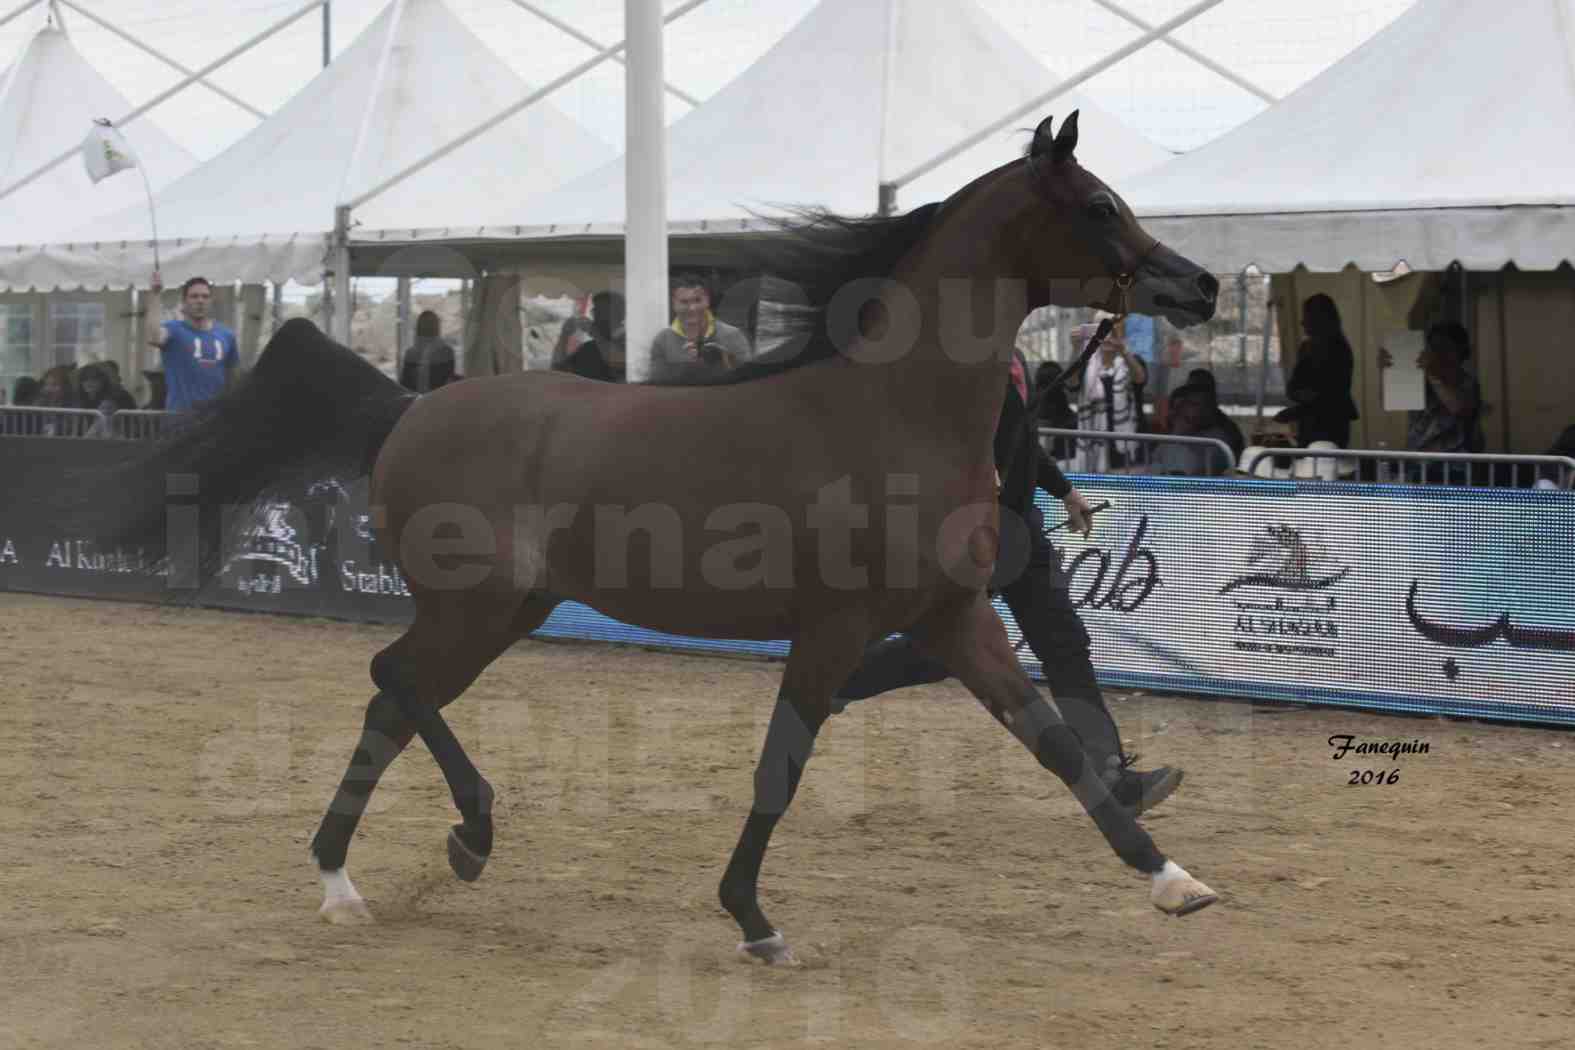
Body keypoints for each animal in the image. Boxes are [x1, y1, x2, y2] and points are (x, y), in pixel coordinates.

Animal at [79, 113, 1222, 963]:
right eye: (1098, 205)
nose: (1200, 286)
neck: (893, 413)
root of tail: (407, 409)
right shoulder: (834, 627)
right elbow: (782, 764)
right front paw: (753, 919)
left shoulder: (955, 620)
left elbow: (1057, 743)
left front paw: (1175, 879)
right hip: (476, 605)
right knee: (391, 678)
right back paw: (461, 834)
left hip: (509, 608)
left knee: (390, 703)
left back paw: (353, 878)